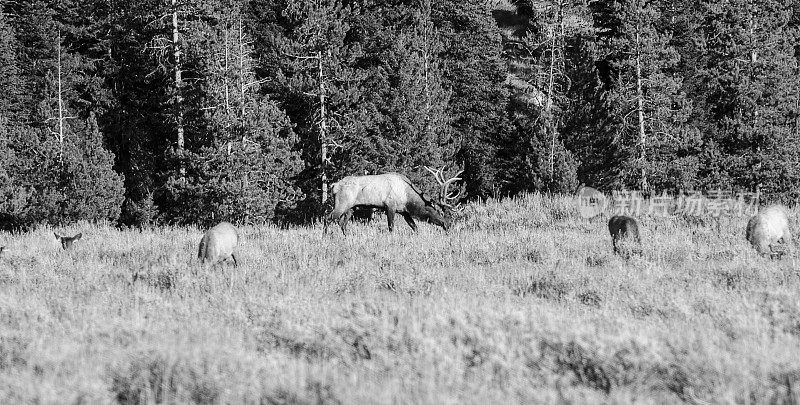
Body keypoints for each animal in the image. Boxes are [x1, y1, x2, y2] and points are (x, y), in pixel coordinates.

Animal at [324, 166, 466, 235]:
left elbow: (415, 227)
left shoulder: (404, 211)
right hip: (342, 203)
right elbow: (391, 227)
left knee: (342, 223)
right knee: (328, 218)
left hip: (352, 207)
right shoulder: (390, 206)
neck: (407, 196)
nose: (447, 225)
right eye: (441, 212)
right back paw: (325, 237)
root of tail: (334, 186)